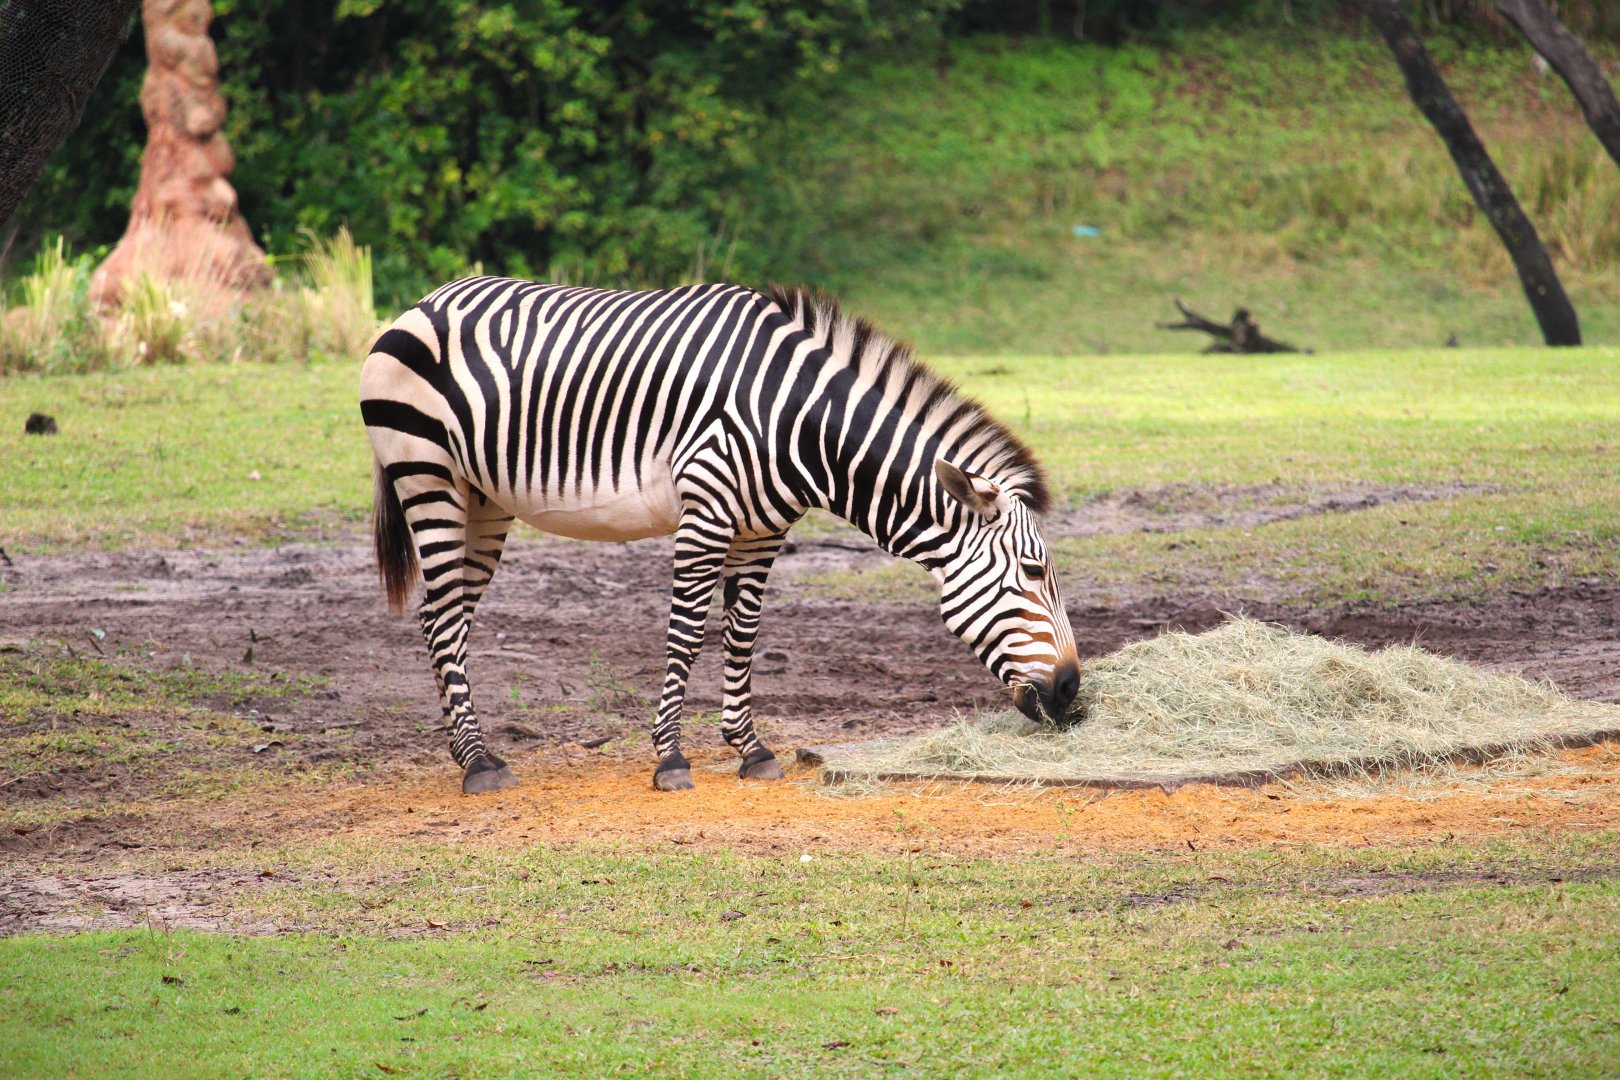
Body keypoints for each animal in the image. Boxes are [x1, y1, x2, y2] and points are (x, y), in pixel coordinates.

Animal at [361, 278, 1082, 793]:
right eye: (1033, 572)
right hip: (427, 474)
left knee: (442, 616)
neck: (801, 423)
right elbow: (686, 633)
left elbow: (743, 634)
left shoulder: (762, 531)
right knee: (444, 618)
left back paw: (468, 752)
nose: (1073, 692)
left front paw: (751, 749)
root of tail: (420, 304)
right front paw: (671, 758)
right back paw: (478, 763)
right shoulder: (705, 513)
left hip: (482, 499)